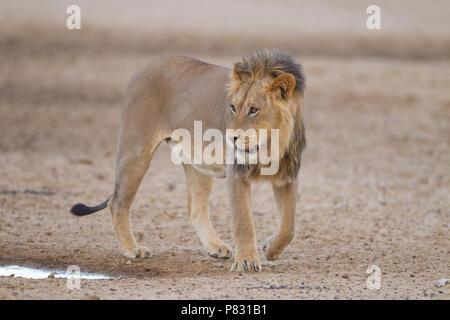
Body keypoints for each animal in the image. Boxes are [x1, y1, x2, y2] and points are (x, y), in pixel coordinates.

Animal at [70, 48, 308, 272]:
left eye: (253, 110)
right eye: (233, 107)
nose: (229, 138)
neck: (271, 144)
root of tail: (143, 68)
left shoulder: (288, 176)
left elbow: (289, 226)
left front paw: (269, 250)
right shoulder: (236, 172)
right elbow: (244, 222)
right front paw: (247, 261)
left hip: (198, 164)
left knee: (195, 208)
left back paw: (215, 246)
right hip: (136, 151)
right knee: (117, 202)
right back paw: (132, 248)